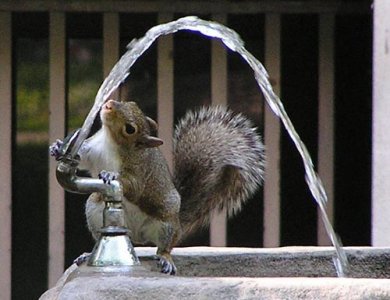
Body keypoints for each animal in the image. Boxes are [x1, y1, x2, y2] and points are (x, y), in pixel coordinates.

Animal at [51, 99, 266, 274]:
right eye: (130, 102)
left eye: (130, 129)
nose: (109, 104)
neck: (110, 141)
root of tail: (137, 235)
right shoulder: (92, 151)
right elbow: (82, 158)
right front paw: (57, 146)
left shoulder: (140, 172)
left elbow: (133, 186)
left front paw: (111, 174)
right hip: (94, 209)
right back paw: (89, 254)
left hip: (166, 224)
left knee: (165, 247)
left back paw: (165, 259)